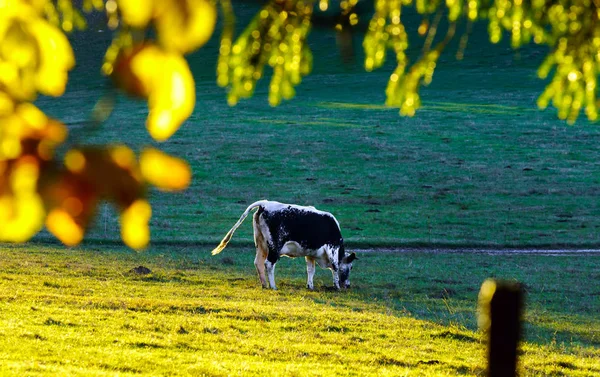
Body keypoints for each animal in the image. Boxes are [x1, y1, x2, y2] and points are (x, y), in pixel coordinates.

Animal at [210, 200, 354, 290]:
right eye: (351, 267)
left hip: (261, 244)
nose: (348, 285)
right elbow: (335, 267)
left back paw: (265, 285)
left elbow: (310, 270)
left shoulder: (310, 252)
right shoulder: (332, 248)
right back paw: (273, 286)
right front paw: (337, 287)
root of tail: (265, 203)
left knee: (258, 262)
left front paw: (310, 286)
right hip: (274, 247)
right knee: (268, 264)